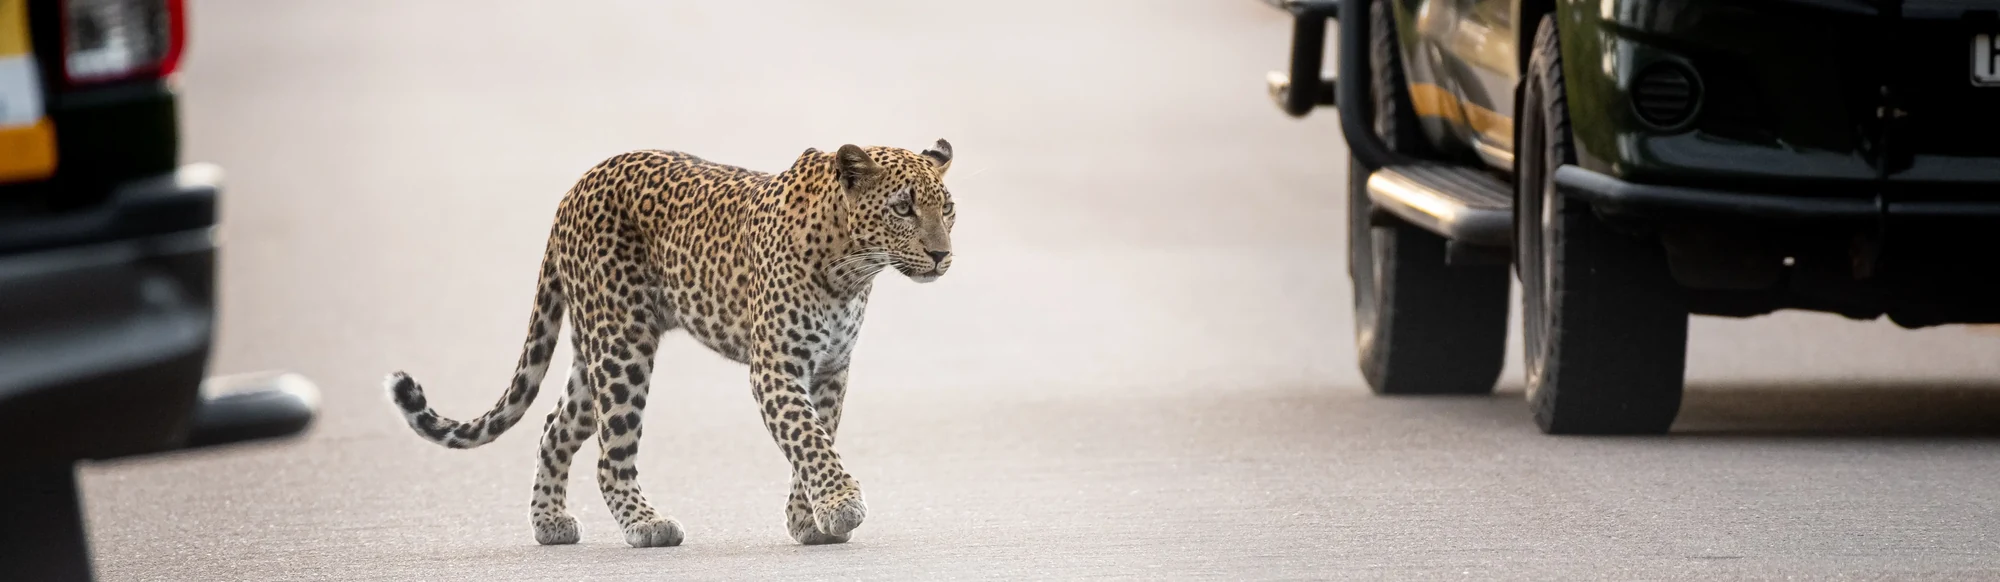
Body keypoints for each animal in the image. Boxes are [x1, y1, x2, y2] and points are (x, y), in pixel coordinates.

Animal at [384, 139, 957, 548]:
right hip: (622, 348)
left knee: (554, 426)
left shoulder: (831, 370)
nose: (941, 254)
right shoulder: (777, 367)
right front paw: (840, 505)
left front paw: (808, 520)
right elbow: (807, 437)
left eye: (947, 209)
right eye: (903, 208)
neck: (853, 268)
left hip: (595, 353)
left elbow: (816, 438)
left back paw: (550, 523)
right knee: (609, 457)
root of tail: (572, 190)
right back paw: (647, 525)